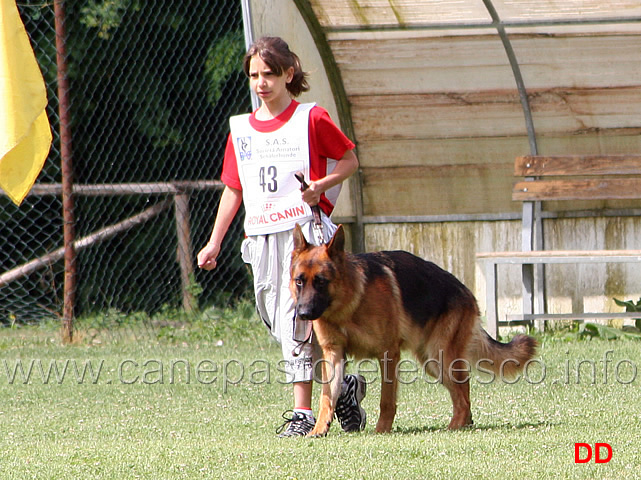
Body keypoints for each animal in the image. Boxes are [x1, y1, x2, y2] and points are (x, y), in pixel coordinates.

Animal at [288, 223, 536, 436]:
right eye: (299, 281)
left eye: (321, 281)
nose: (303, 314)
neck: (348, 304)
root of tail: (465, 291)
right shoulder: (333, 355)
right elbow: (327, 397)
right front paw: (319, 429)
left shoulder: (388, 353)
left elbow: (386, 400)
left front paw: (382, 430)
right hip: (433, 363)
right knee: (462, 388)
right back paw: (464, 423)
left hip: (440, 357)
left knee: (462, 393)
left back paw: (454, 426)